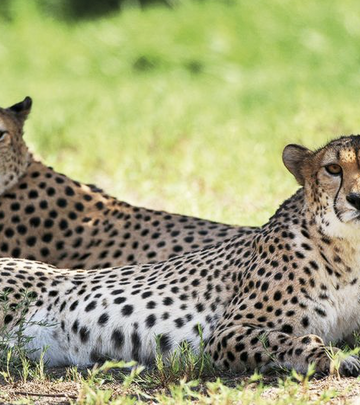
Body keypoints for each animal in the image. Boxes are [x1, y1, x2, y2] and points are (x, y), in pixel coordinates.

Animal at [3, 133, 360, 376]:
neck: (348, 252)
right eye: (333, 168)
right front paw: (340, 358)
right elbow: (299, 340)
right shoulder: (225, 334)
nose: (356, 198)